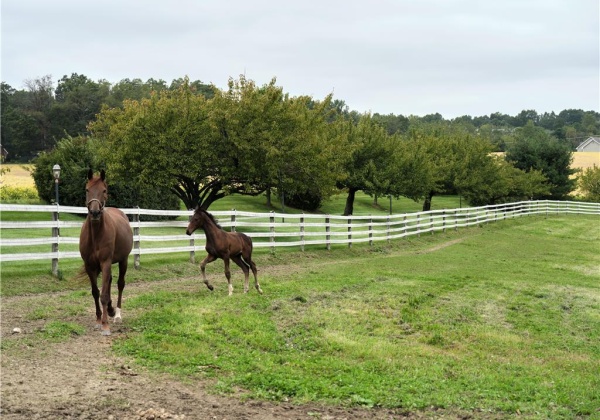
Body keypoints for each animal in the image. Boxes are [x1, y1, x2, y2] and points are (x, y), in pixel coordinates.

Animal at [79, 167, 133, 334]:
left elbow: (103, 294)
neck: (96, 235)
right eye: (87, 189)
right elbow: (96, 292)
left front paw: (105, 325)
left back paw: (117, 314)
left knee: (120, 284)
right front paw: (98, 320)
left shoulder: (106, 262)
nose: (95, 213)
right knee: (108, 282)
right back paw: (110, 309)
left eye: (104, 190)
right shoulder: (90, 265)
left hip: (123, 261)